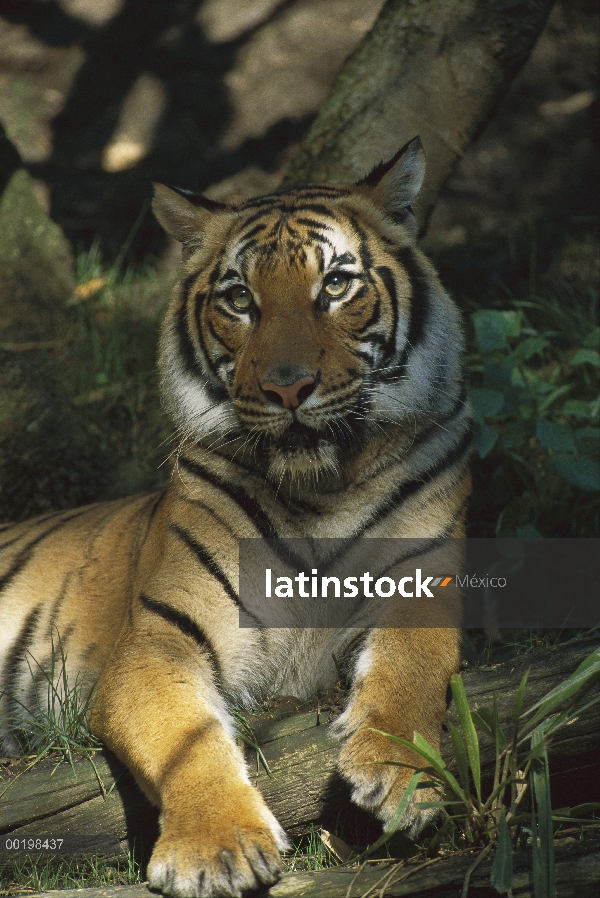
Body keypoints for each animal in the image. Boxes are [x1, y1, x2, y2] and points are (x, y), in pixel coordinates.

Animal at [0, 138, 472, 896]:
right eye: (239, 299)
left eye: (334, 285)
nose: (288, 386)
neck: (320, 491)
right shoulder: (158, 638)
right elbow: (185, 738)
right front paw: (214, 848)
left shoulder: (424, 582)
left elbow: (413, 665)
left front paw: (400, 777)